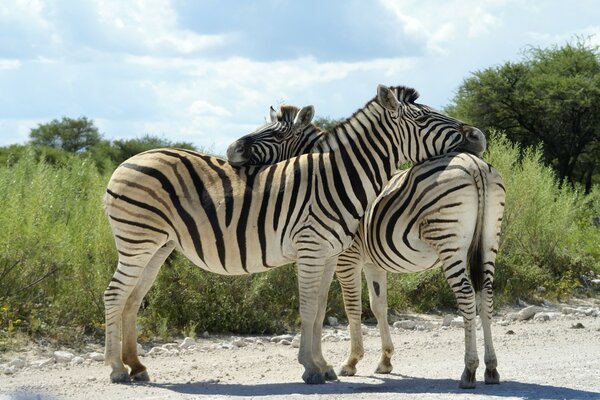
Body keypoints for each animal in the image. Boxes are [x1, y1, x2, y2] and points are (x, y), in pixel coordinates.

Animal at [102, 83, 478, 384]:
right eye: (422, 118)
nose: (477, 135)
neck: (336, 178)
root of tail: (126, 162)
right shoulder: (313, 249)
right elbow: (310, 308)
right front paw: (311, 368)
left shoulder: (330, 254)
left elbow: (322, 308)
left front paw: (324, 366)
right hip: (138, 241)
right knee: (114, 294)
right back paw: (116, 369)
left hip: (157, 246)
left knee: (131, 299)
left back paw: (136, 366)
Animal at [227, 103, 504, 388]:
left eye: (277, 134)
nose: (230, 151)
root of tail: (473, 164)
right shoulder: (373, 262)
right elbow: (378, 306)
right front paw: (385, 360)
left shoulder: (346, 258)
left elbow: (352, 306)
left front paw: (352, 361)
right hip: (489, 239)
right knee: (486, 294)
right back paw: (491, 368)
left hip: (449, 241)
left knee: (467, 295)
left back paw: (469, 370)